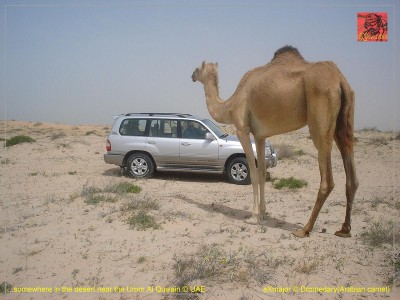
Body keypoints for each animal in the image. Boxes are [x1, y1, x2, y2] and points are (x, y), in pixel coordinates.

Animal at [191, 45, 360, 238]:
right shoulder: (260, 135)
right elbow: (263, 173)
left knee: (327, 179)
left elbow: (254, 173)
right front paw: (263, 214)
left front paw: (253, 217)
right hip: (345, 117)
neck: (230, 105)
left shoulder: (242, 129)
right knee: (351, 170)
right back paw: (344, 229)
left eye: (198, 68)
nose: (192, 75)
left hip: (320, 116)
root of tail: (340, 80)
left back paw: (304, 229)